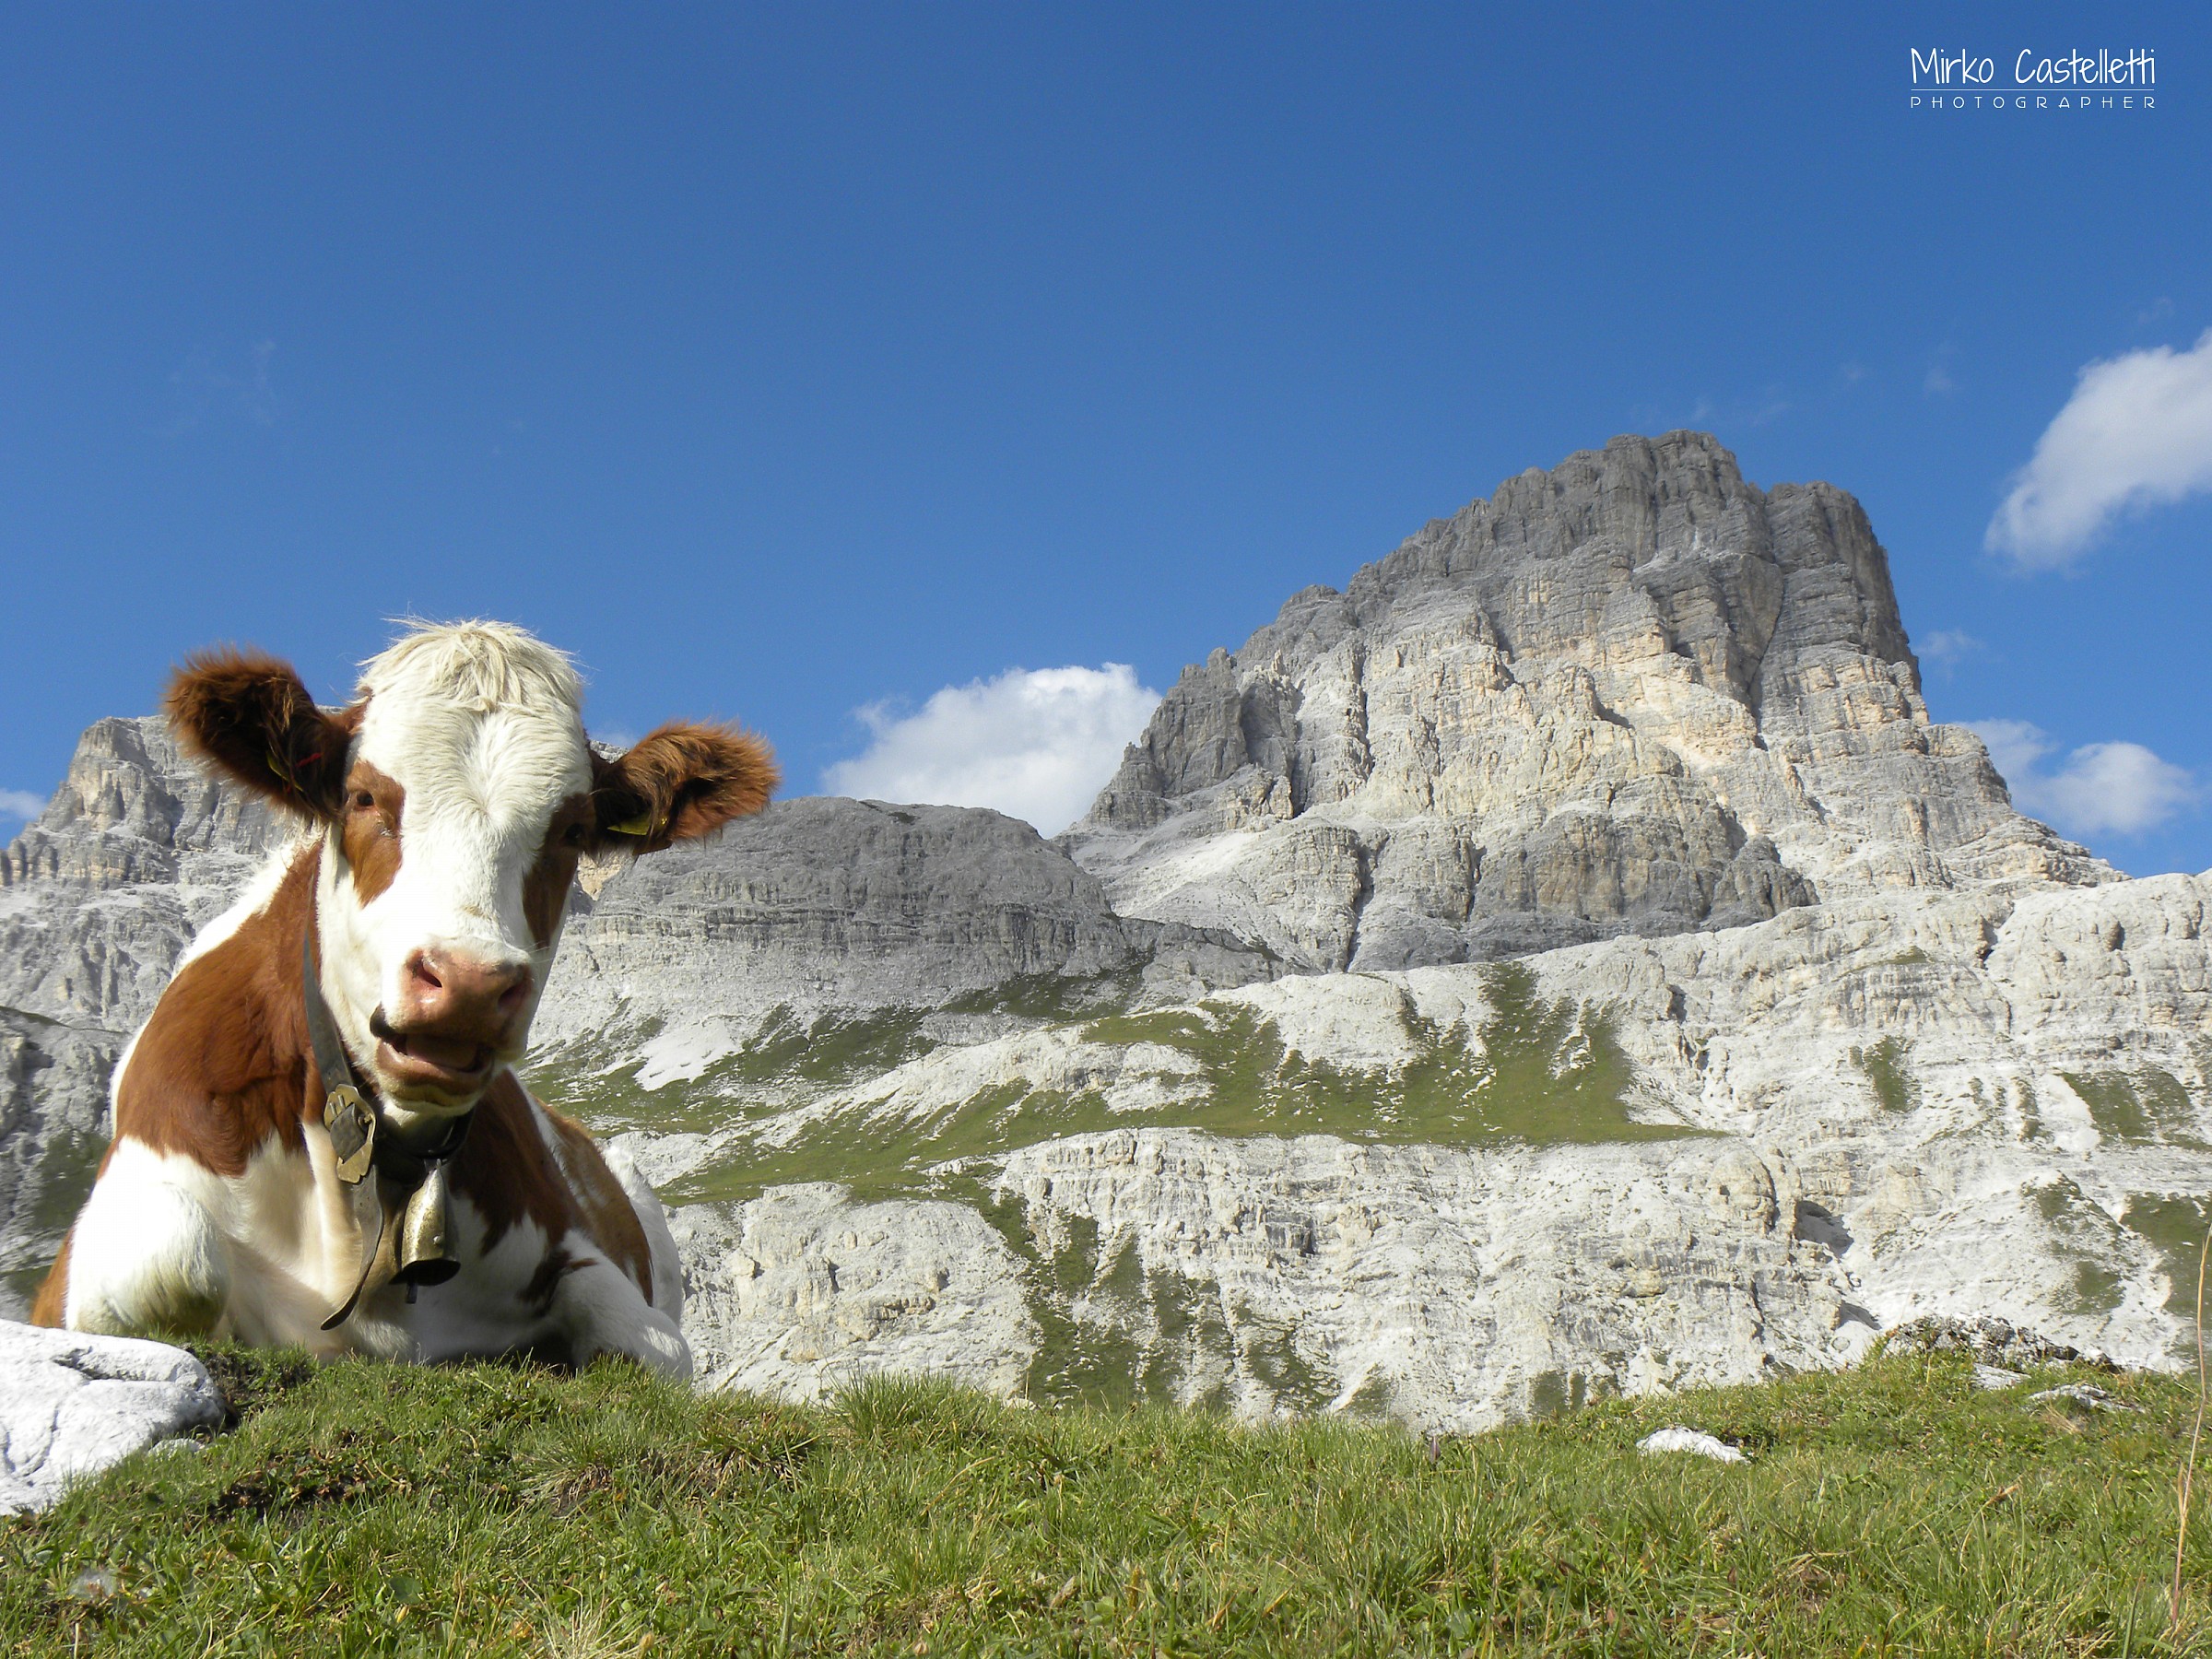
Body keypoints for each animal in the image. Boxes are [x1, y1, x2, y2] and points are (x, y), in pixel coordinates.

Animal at [30, 620, 775, 1376]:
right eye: (363, 798)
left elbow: (649, 1345)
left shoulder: (582, 1255)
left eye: (570, 831)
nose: (470, 982)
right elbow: (176, 1266)